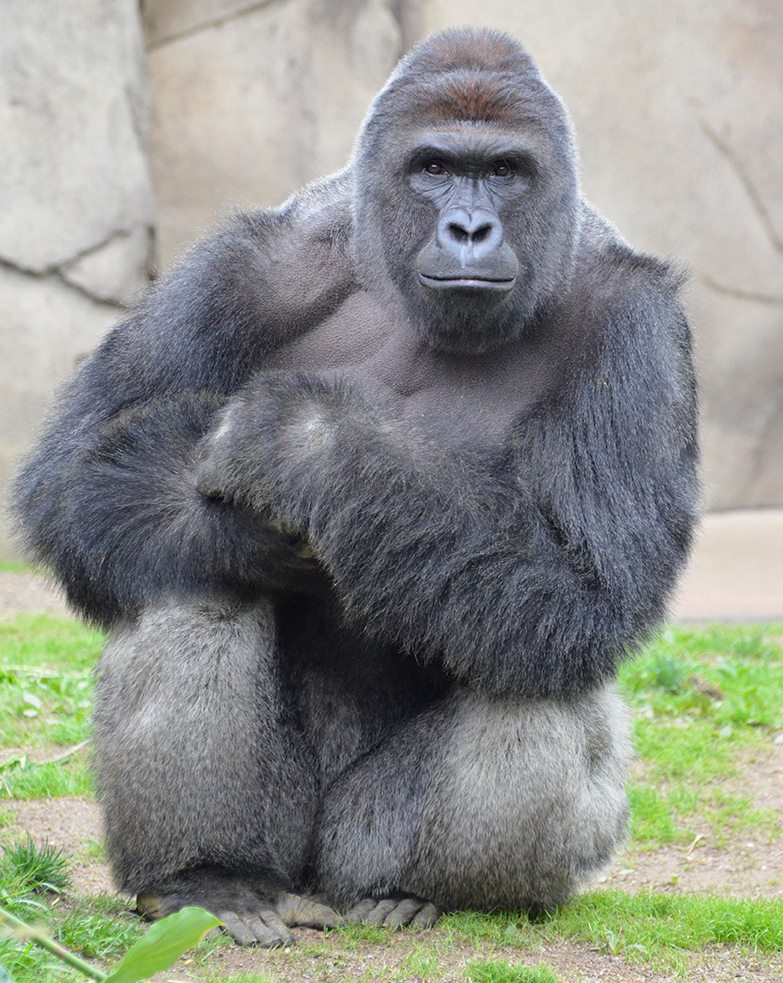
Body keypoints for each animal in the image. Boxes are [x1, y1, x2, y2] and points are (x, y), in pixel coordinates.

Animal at [13, 28, 698, 945]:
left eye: (506, 171)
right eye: (434, 166)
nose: (470, 226)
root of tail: (316, 883)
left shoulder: (639, 327)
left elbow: (590, 586)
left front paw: (305, 443)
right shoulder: (248, 262)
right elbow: (73, 475)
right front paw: (250, 531)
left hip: (355, 837)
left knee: (540, 671)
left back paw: (411, 889)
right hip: (285, 836)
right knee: (187, 580)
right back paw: (209, 874)